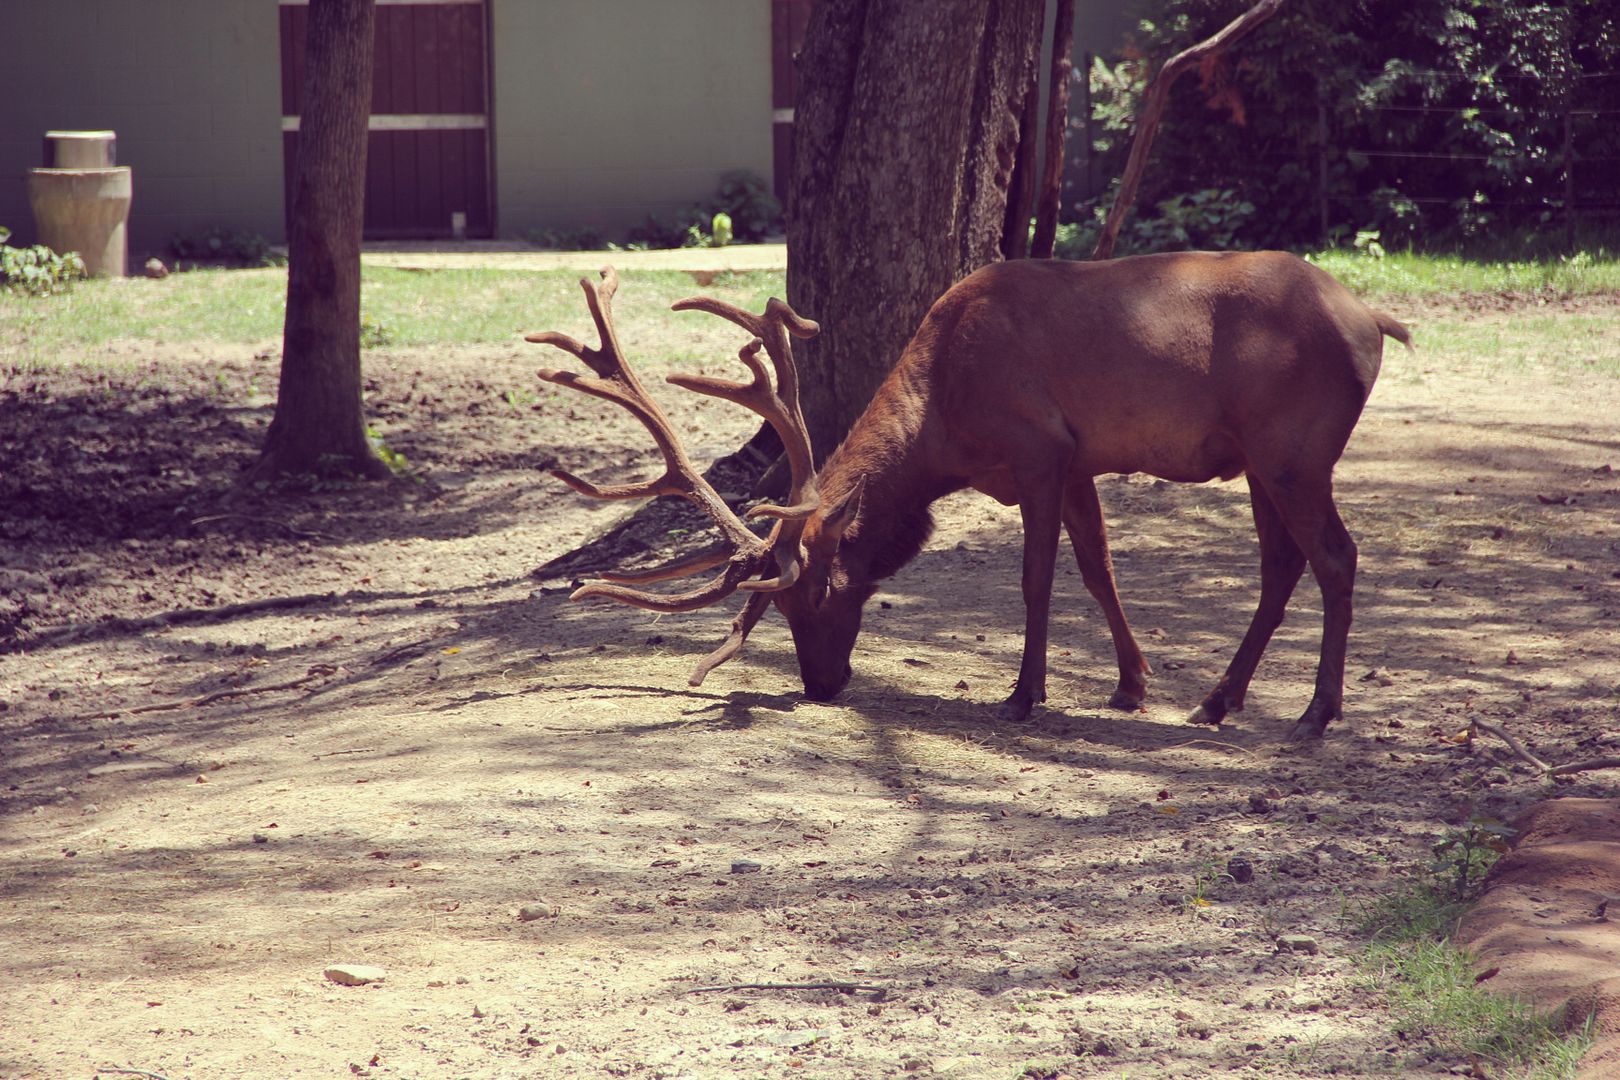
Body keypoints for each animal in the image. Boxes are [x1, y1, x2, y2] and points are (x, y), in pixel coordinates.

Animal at [531, 250, 1406, 744]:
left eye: (817, 593)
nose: (820, 685)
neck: (943, 426)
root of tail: (1374, 320)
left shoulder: (1039, 449)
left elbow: (1038, 579)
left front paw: (1022, 695)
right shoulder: (1080, 461)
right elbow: (1099, 569)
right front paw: (1132, 684)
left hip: (1294, 451)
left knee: (1337, 556)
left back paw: (1315, 713)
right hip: (1260, 462)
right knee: (1281, 567)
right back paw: (1218, 702)